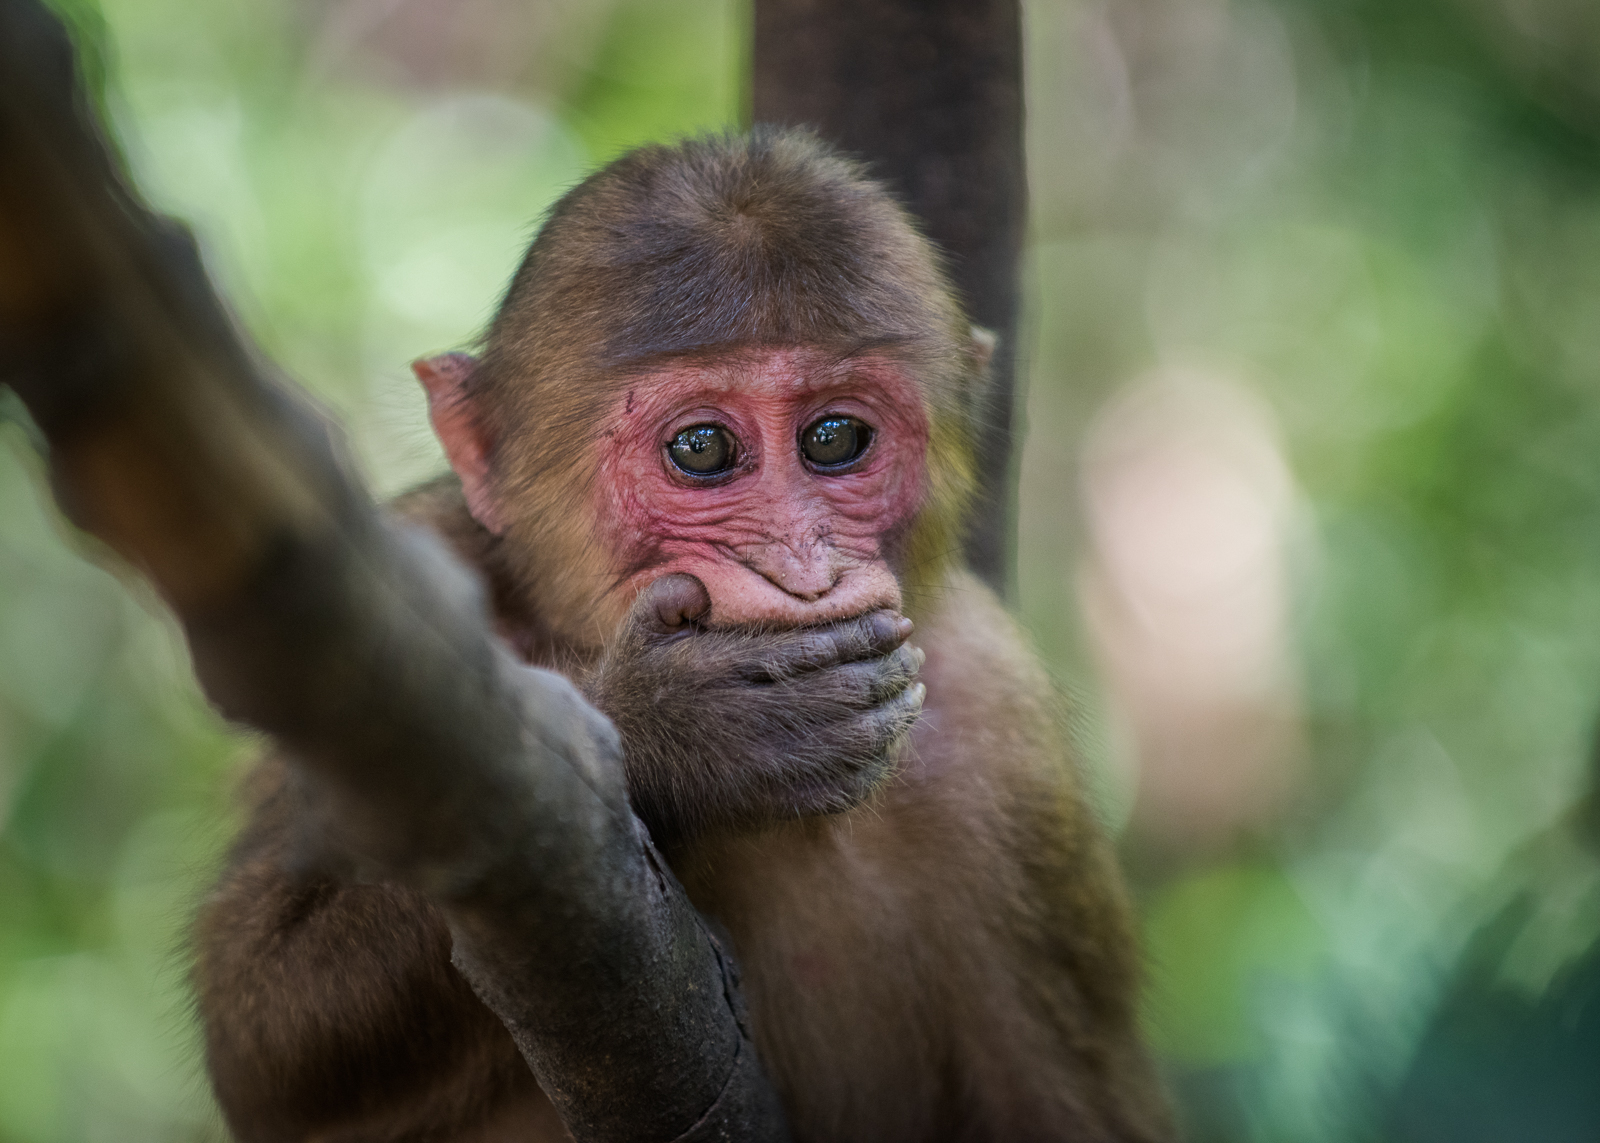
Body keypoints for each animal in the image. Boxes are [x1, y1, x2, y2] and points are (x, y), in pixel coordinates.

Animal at [190, 128, 1177, 1133]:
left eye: (833, 439)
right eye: (701, 449)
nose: (802, 570)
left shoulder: (1000, 725)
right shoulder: (411, 575)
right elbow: (264, 1035)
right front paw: (688, 731)